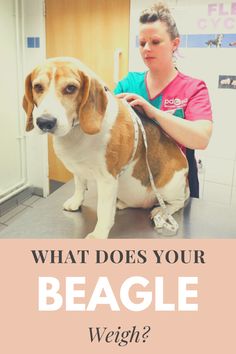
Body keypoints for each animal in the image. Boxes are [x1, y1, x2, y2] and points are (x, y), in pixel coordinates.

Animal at [23, 57, 189, 238]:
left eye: (70, 88)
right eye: (37, 87)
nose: (45, 122)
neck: (78, 131)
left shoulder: (107, 179)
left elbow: (103, 210)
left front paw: (98, 234)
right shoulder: (79, 169)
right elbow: (79, 186)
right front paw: (76, 201)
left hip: (170, 186)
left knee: (179, 202)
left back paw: (161, 211)